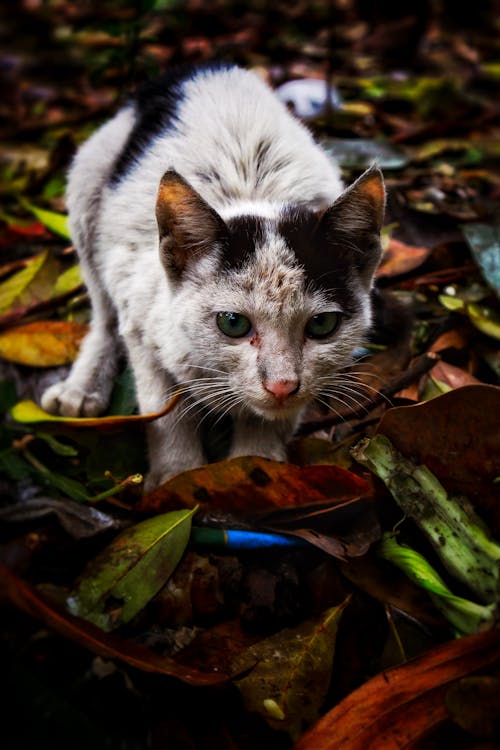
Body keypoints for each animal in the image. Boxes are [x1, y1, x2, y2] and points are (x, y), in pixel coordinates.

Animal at [42, 63, 386, 488]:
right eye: (232, 324)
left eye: (322, 325)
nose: (282, 385)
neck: (252, 196)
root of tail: (202, 68)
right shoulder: (140, 308)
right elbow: (165, 410)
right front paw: (176, 477)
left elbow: (269, 423)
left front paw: (255, 467)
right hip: (89, 181)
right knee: (105, 313)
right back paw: (82, 387)